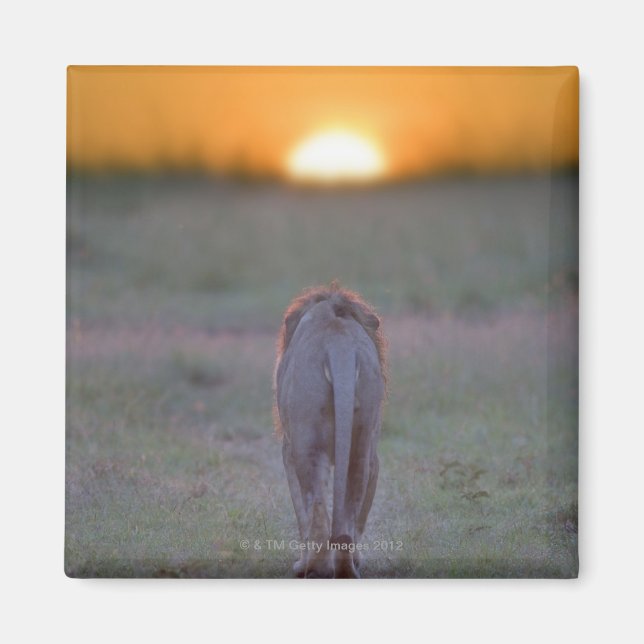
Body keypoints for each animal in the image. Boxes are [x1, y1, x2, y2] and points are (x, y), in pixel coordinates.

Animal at [274, 282, 386, 578]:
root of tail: (340, 345)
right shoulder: (375, 457)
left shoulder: (288, 450)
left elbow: (301, 508)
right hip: (362, 442)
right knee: (349, 508)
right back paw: (347, 568)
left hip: (307, 445)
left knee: (316, 511)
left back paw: (311, 568)